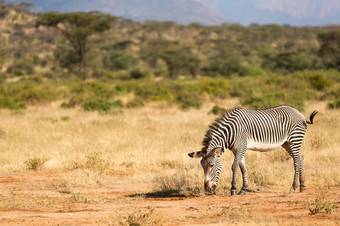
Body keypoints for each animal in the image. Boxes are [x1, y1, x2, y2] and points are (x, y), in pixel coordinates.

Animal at [187, 105, 318, 195]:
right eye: (202, 167)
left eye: (212, 165)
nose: (207, 189)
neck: (230, 132)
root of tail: (300, 114)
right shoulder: (237, 149)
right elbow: (243, 168)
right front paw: (243, 189)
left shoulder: (241, 147)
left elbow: (234, 166)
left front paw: (233, 189)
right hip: (286, 143)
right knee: (300, 157)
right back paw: (302, 186)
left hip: (294, 139)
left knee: (296, 161)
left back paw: (293, 187)